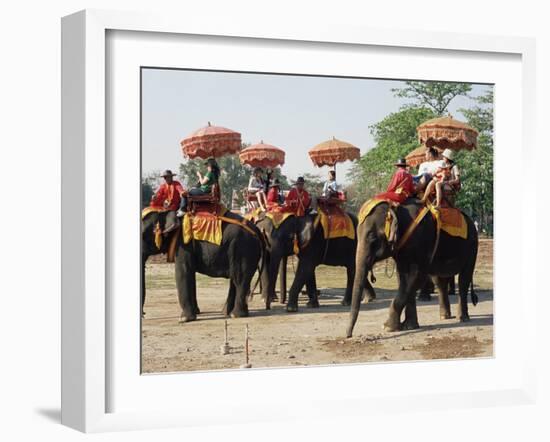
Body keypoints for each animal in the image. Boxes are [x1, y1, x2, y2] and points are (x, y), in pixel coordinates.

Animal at [348, 199, 480, 336]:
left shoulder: (422, 242)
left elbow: (416, 277)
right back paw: (444, 316)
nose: (349, 335)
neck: (397, 209)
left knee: (464, 279)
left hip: (472, 247)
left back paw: (463, 318)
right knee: (439, 281)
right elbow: (403, 278)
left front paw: (388, 327)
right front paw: (409, 326)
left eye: (372, 237)